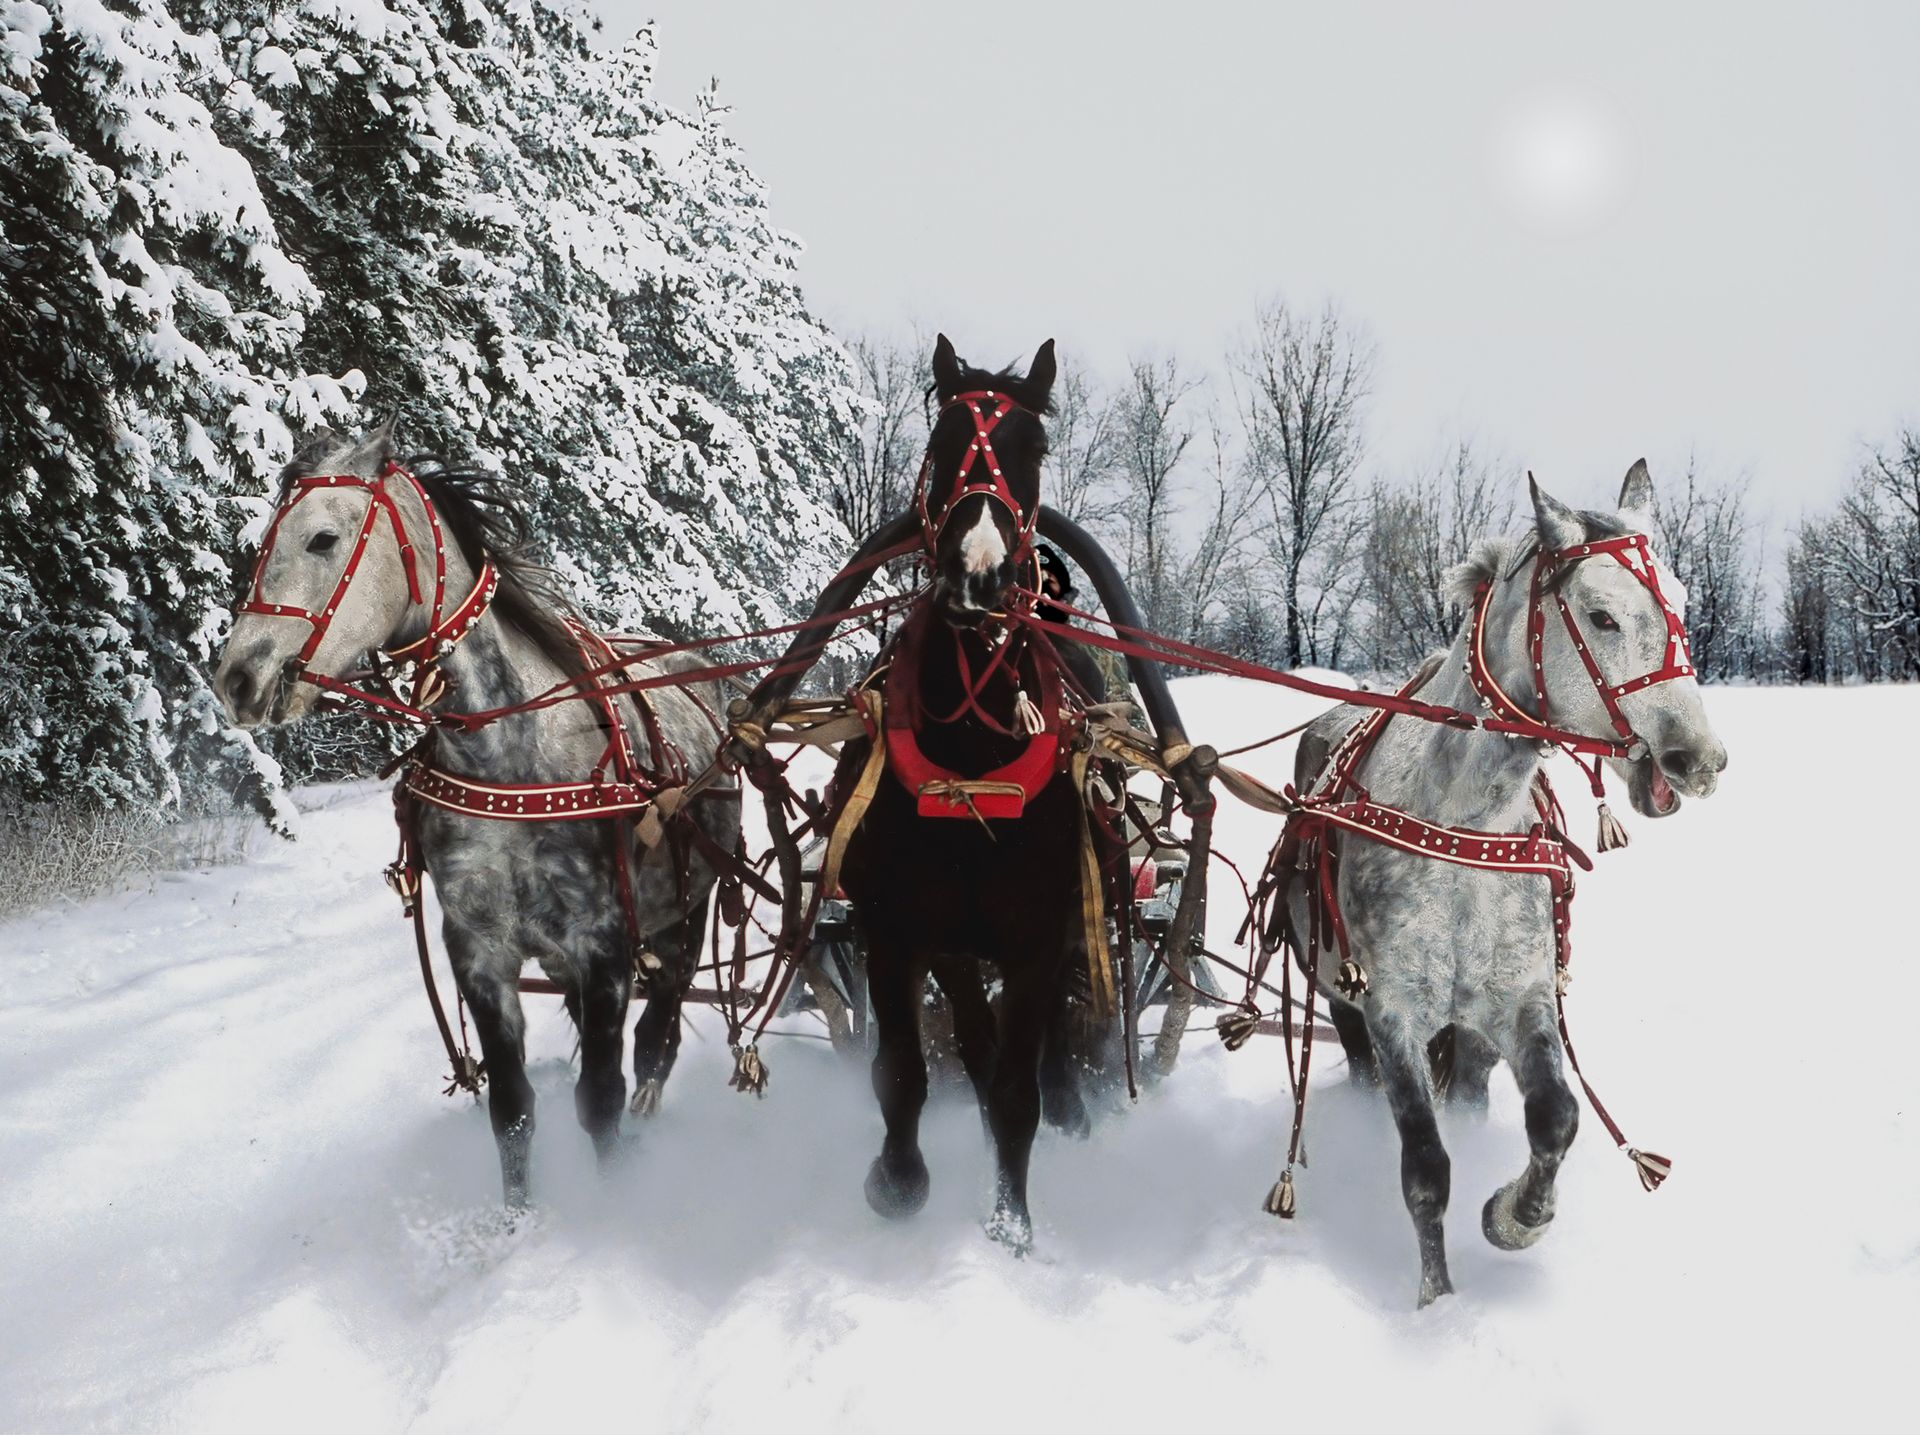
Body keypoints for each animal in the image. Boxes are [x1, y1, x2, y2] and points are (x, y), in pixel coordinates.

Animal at [212, 423, 739, 1208]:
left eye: (322, 539)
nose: (237, 677)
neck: (510, 754)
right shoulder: (480, 951)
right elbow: (513, 1110)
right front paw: (518, 1218)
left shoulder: (604, 944)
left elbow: (601, 1098)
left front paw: (614, 1204)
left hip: (686, 910)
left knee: (659, 1033)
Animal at [1283, 461, 1727, 1306]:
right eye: (1601, 616)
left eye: (1683, 603)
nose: (1699, 757)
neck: (1462, 821)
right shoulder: (1392, 1011)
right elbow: (1425, 1170)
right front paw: (1437, 1301)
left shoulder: (1519, 1001)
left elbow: (1557, 1115)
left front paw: (1514, 1216)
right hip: (1342, 1003)